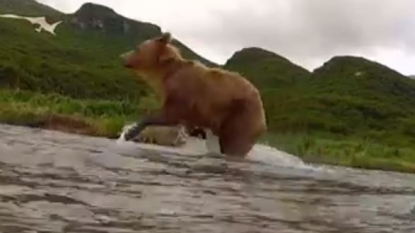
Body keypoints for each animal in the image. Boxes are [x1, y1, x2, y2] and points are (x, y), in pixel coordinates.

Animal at [122, 32, 268, 157]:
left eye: (137, 48)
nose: (123, 56)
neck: (164, 76)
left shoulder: (183, 93)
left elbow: (169, 114)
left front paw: (131, 132)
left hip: (241, 115)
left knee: (235, 143)